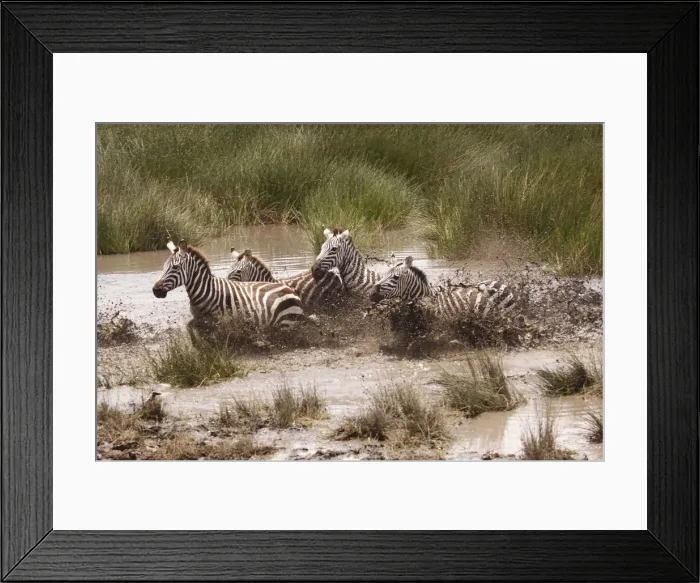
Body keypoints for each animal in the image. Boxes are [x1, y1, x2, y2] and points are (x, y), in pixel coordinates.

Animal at [152, 240, 308, 329]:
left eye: (175, 267)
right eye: (164, 267)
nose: (155, 290)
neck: (207, 291)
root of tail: (290, 290)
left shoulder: (218, 321)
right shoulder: (198, 319)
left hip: (286, 323)